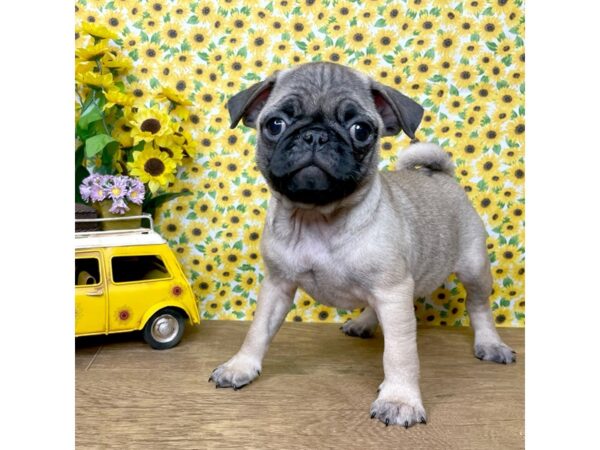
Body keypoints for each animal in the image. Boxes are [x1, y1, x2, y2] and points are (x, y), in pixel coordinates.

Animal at [207, 61, 516, 428]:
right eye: (275, 124)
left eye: (360, 130)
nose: (315, 135)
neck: (317, 217)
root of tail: (440, 174)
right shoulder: (278, 285)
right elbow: (257, 330)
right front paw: (241, 365)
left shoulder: (393, 293)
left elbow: (400, 354)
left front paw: (399, 399)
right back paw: (364, 323)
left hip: (473, 267)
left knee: (479, 306)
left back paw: (490, 343)